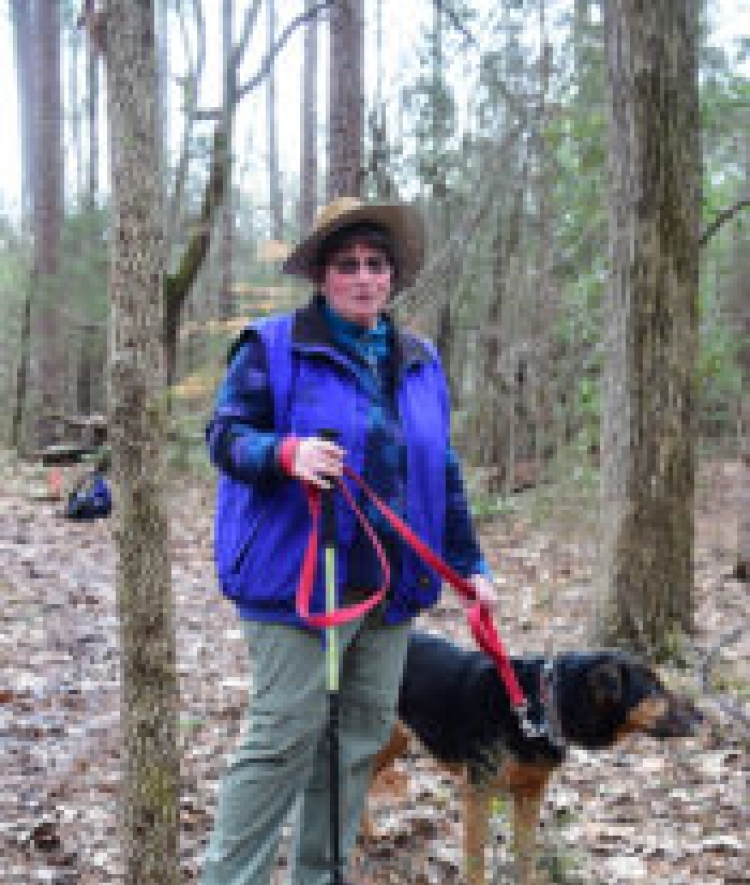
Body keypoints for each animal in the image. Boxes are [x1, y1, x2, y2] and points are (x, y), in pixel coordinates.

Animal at [368, 628, 704, 884]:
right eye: (654, 689)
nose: (702, 717)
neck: (541, 706)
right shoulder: (478, 790)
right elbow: (476, 858)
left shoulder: (531, 792)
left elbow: (525, 853)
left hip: (392, 740)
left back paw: (371, 837)